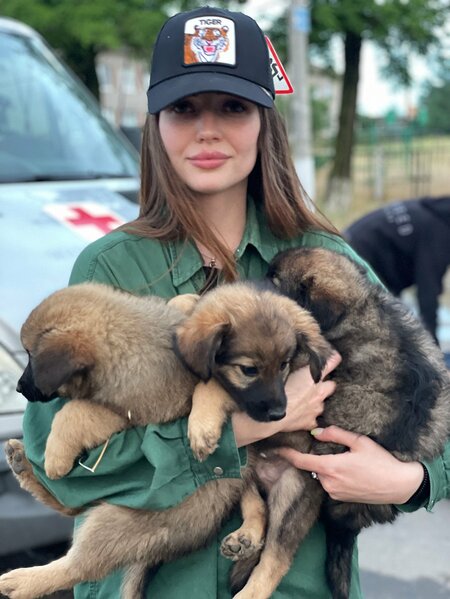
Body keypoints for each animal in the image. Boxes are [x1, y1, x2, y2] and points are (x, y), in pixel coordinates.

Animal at [0, 282, 330, 599]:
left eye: (30, 356)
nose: (18, 387)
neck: (132, 339)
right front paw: (186, 302)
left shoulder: (130, 413)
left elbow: (75, 411)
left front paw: (55, 456)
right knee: (73, 506)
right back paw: (22, 463)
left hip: (118, 523)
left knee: (80, 562)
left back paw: (21, 581)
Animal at [232, 247, 450, 599]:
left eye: (275, 281)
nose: (245, 287)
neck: (357, 310)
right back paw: (245, 539)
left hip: (299, 485)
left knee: (277, 550)